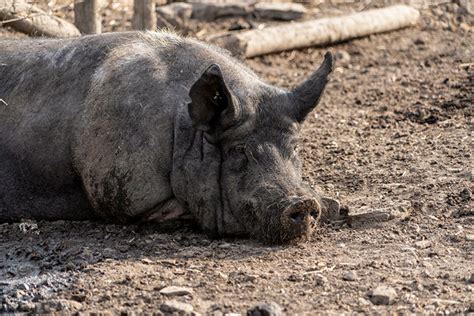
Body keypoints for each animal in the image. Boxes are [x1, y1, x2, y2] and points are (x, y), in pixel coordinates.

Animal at [0, 30, 340, 243]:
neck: (183, 134)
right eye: (239, 151)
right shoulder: (120, 192)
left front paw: (335, 204)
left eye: (295, 148)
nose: (302, 203)